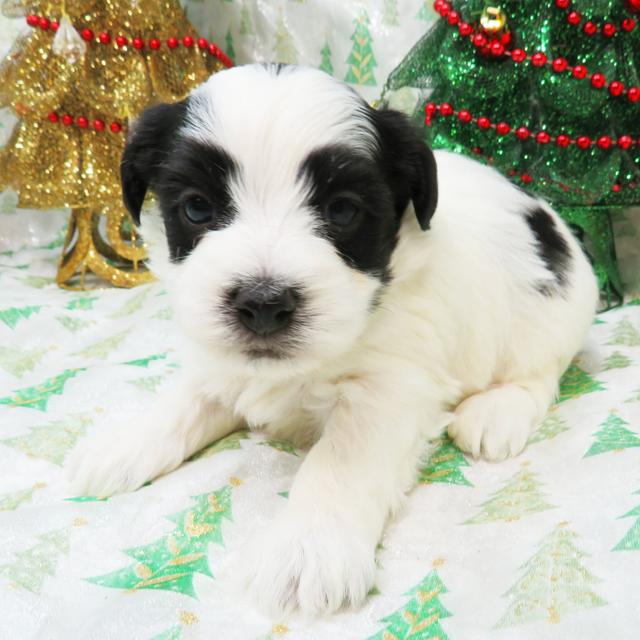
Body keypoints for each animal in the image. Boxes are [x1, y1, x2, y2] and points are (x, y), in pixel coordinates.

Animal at [70, 63, 600, 616]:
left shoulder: (389, 388)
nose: (263, 304)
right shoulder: (221, 355)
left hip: (545, 319)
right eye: (196, 208)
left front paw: (308, 548)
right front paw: (125, 441)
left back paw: (496, 413)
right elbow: (187, 398)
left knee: (541, 374)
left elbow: (340, 460)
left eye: (342, 212)